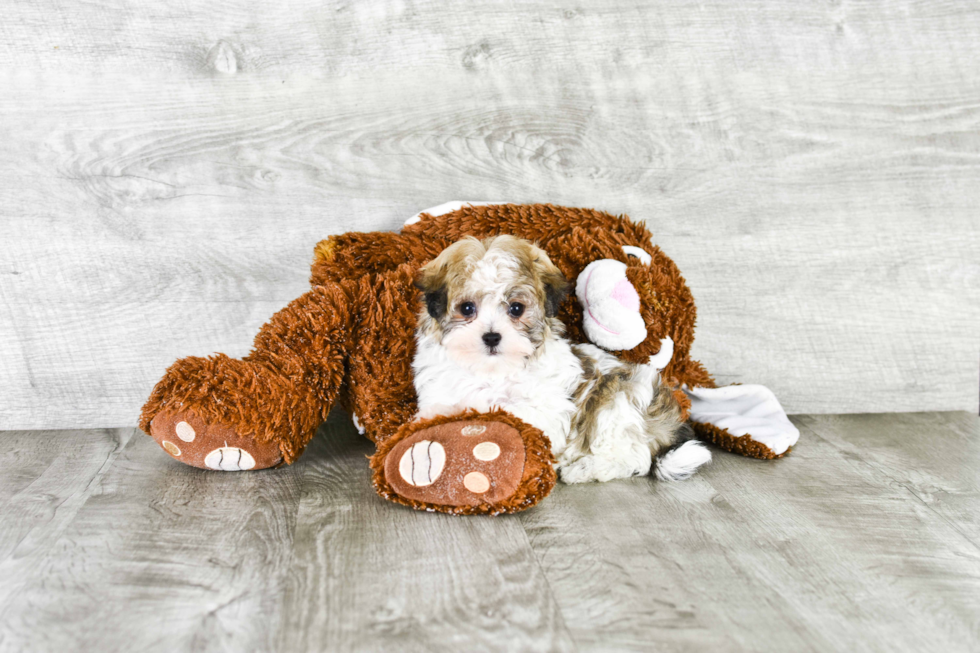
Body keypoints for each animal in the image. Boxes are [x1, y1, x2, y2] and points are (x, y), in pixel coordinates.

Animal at [414, 236, 712, 484]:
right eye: (467, 308)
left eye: (516, 309)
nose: (491, 337)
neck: (491, 371)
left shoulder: (546, 410)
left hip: (617, 401)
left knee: (634, 458)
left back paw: (583, 469)